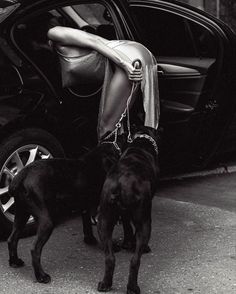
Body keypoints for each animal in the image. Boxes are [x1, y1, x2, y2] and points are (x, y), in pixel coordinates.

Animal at [7, 144, 119, 284]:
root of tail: (21, 175)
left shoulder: (85, 207)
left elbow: (87, 224)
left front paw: (90, 240)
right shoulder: (99, 211)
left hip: (21, 215)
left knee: (12, 239)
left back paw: (15, 262)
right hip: (46, 222)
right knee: (34, 250)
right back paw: (41, 276)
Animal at [97, 129, 159, 294]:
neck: (140, 146)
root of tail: (121, 183)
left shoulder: (123, 214)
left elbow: (126, 227)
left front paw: (127, 242)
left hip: (104, 221)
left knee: (110, 258)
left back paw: (105, 283)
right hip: (145, 223)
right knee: (135, 260)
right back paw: (132, 287)